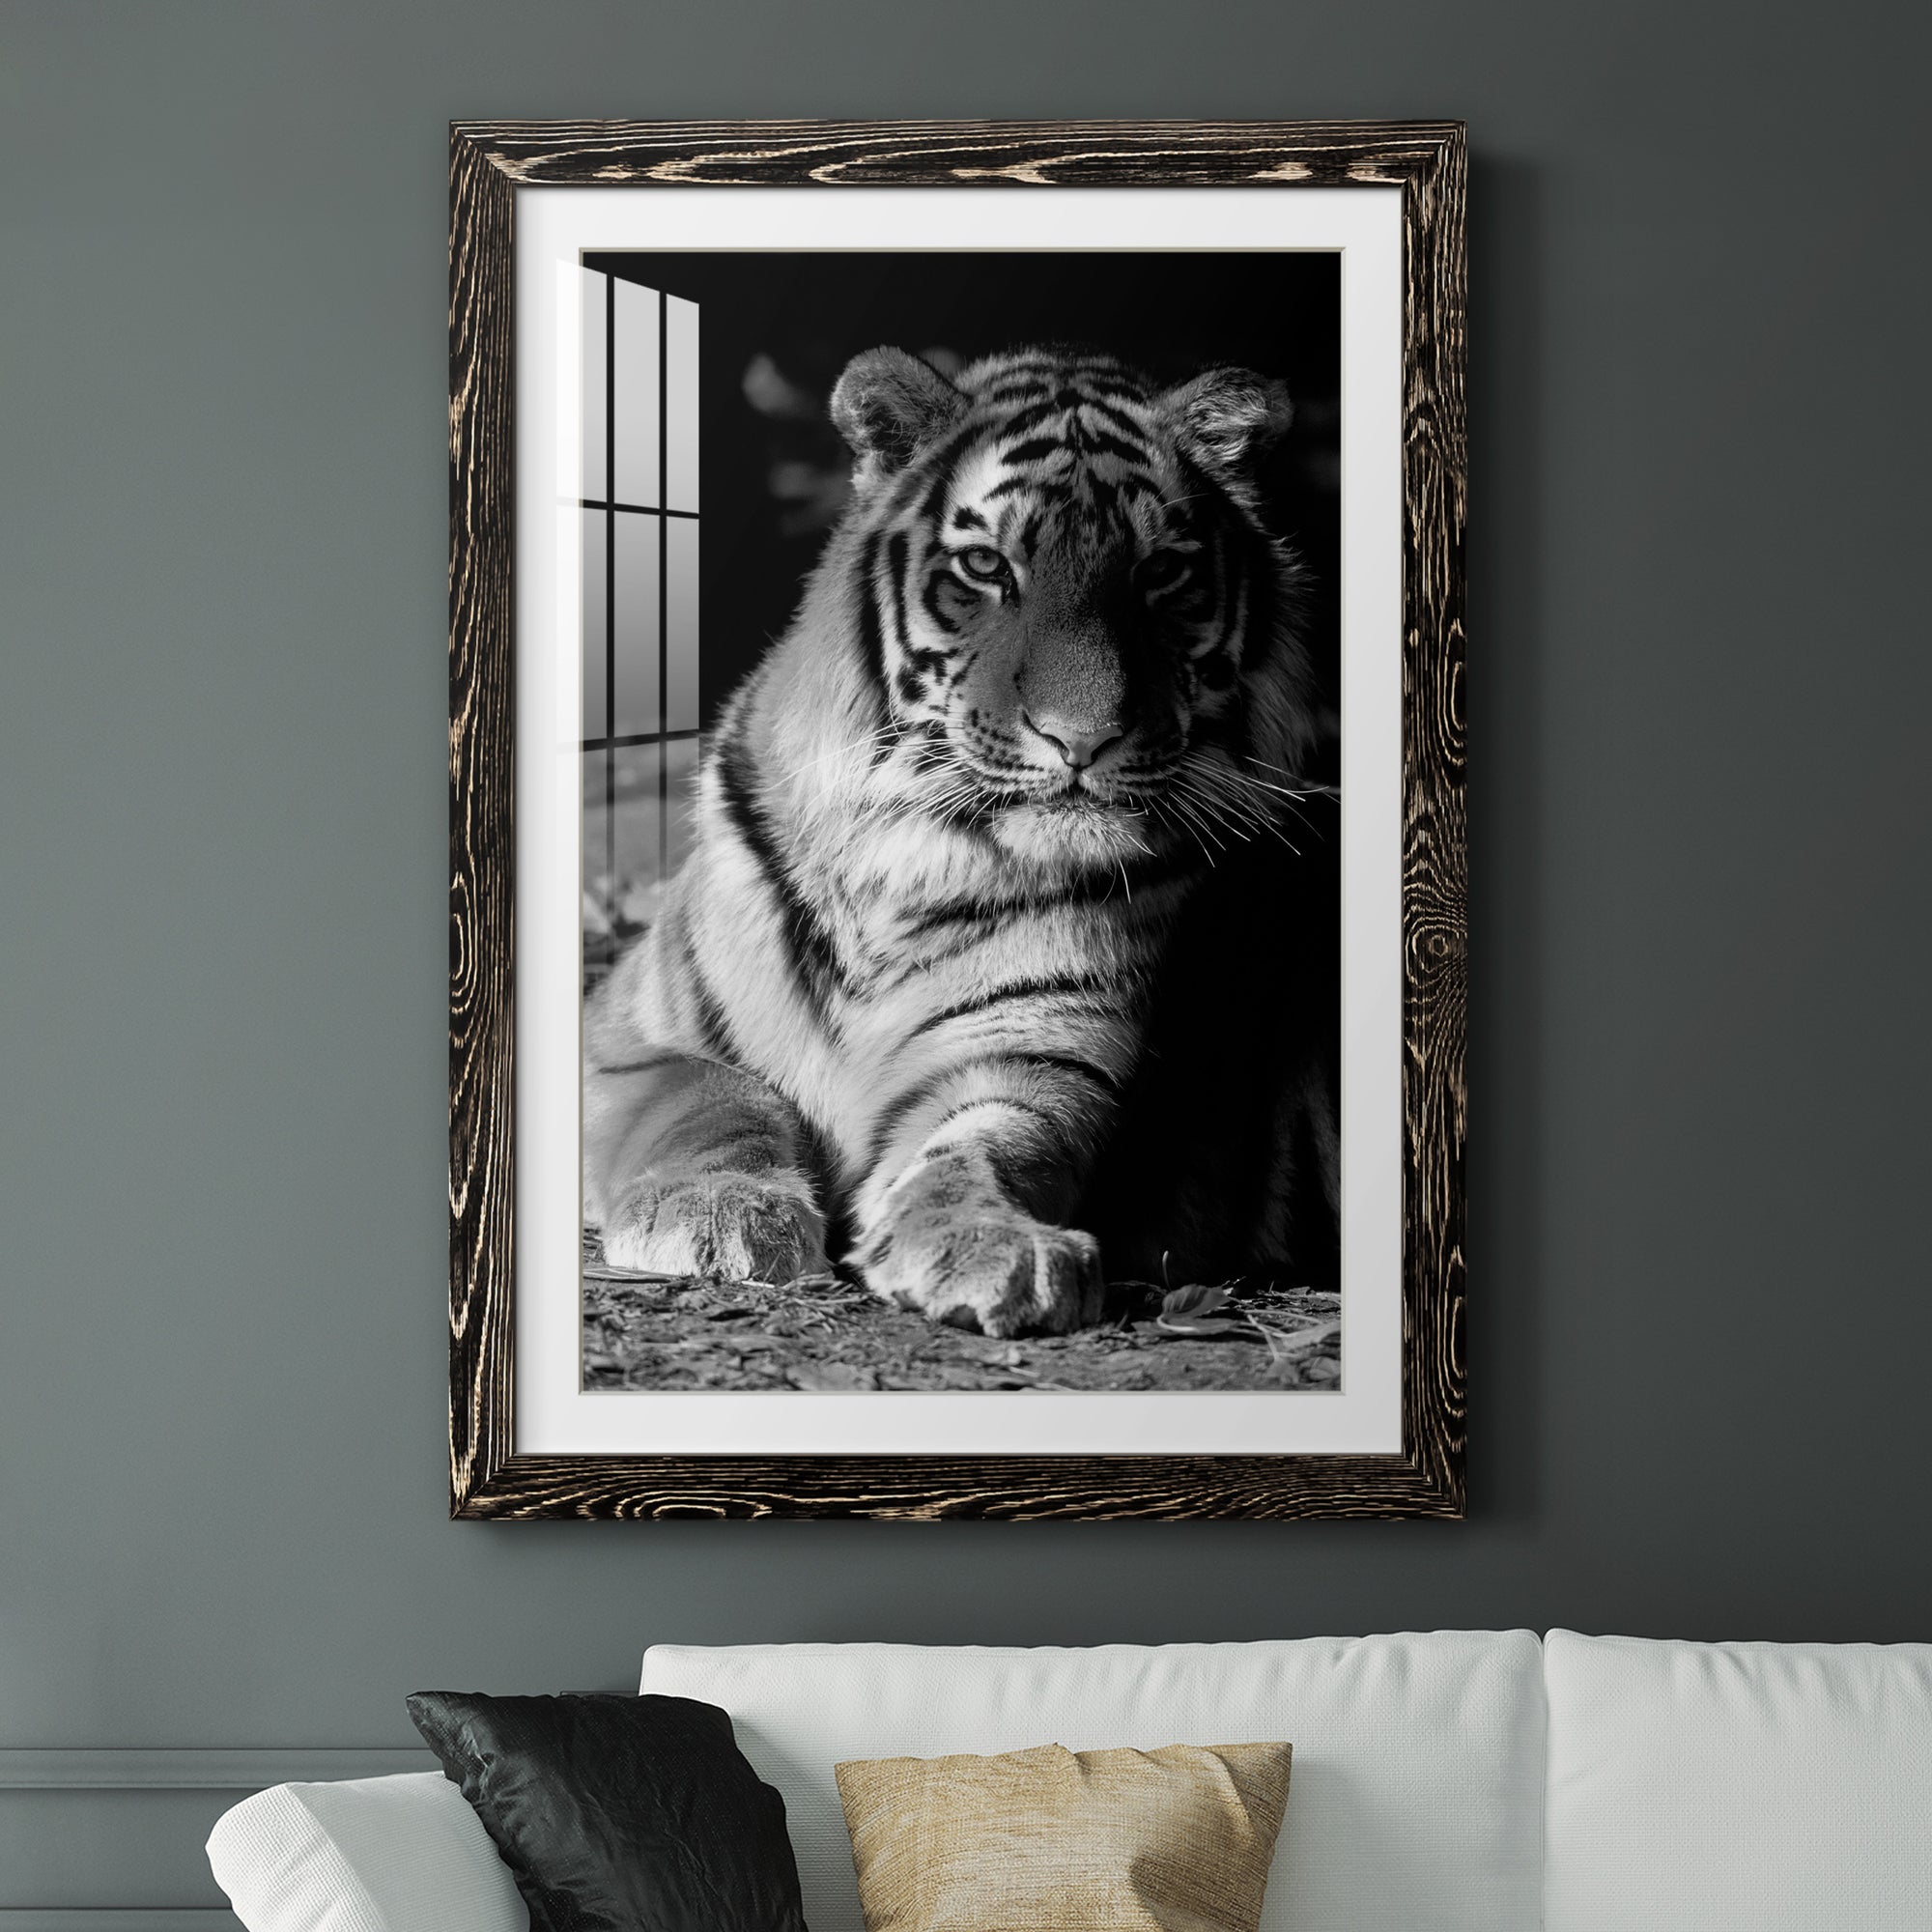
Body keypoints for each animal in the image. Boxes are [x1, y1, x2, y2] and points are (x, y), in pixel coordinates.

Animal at [582, 343, 1338, 1339]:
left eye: (1160, 574)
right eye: (986, 566)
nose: (1083, 739)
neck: (906, 860)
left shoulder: (1034, 1057)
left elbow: (986, 1147)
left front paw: (993, 1245)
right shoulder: (627, 1033)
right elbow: (714, 1098)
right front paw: (717, 1214)